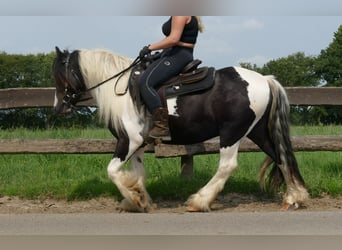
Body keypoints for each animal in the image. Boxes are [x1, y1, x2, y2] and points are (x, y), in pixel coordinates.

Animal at [52, 46, 308, 211]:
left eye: (59, 74)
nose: (59, 107)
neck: (123, 93)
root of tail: (265, 79)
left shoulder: (128, 141)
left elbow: (113, 171)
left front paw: (133, 198)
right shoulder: (139, 145)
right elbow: (138, 172)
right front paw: (141, 200)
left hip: (231, 132)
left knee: (227, 166)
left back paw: (199, 201)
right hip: (257, 132)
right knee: (280, 156)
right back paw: (294, 198)